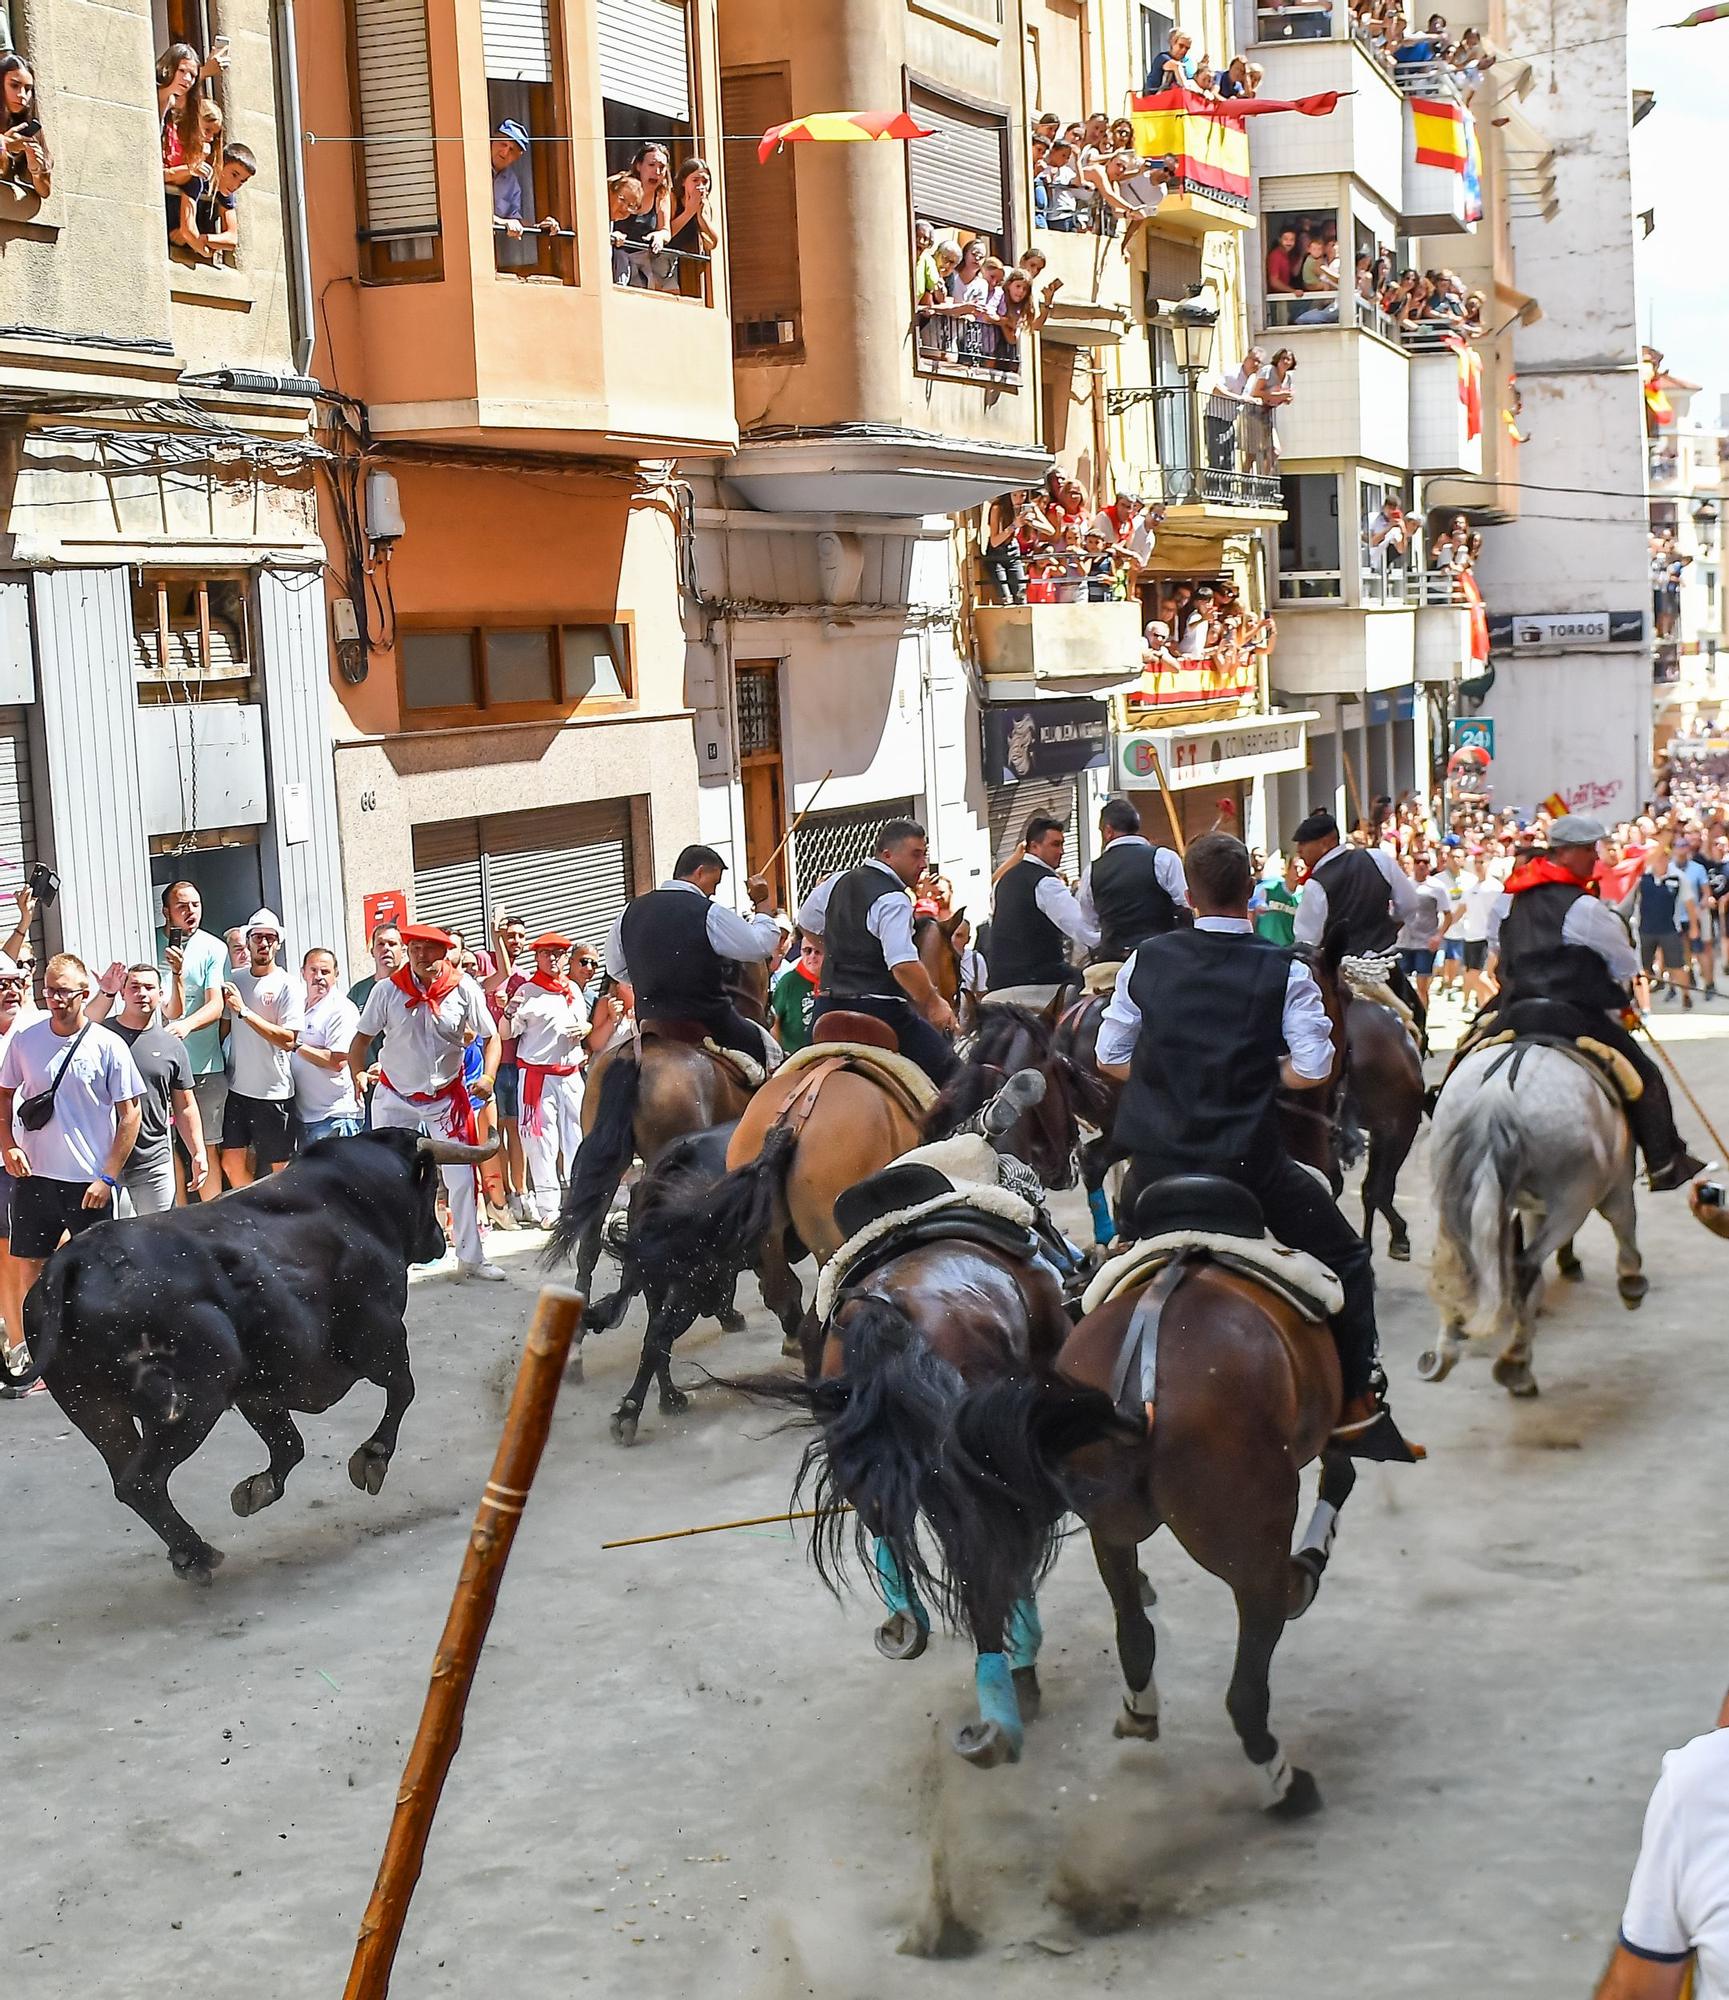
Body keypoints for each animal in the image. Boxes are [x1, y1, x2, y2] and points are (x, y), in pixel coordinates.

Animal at [1, 1136, 500, 1584]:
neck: (353, 1204)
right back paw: (198, 1555)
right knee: (141, 1480)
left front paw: (257, 1490)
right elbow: (402, 1392)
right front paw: (372, 1457)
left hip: (96, 1410)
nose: (439, 1240)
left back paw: (188, 1551)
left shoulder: (259, 1391)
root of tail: (71, 1263)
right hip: (190, 1404)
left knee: (128, 1478)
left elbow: (289, 1445)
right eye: (432, 1186)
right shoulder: (382, 1338)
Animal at [940, 1216, 1360, 1816]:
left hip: (1109, 1528)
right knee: (1248, 1681)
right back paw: (1286, 1783)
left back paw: (1140, 1708)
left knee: (1134, 1630)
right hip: (1249, 1540)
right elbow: (1340, 1470)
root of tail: (1136, 1399)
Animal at [1416, 1040, 1648, 1400]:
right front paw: (1631, 1282)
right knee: (1525, 1268)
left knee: (1457, 1264)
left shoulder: (1531, 1208)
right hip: (1573, 1202)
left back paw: (1447, 1349)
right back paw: (1515, 1367)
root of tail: (1499, 1090)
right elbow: (1624, 1222)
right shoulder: (1617, 1181)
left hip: (1450, 1190)